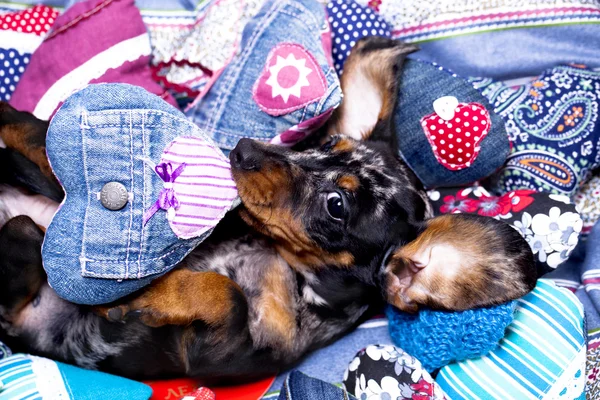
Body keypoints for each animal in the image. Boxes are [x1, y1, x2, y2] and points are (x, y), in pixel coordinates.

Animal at [0, 38, 536, 384]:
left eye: (337, 205)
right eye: (328, 145)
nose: (241, 150)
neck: (277, 259)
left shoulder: (224, 351)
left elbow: (226, 295)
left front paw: (146, 293)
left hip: (22, 245)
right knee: (33, 148)